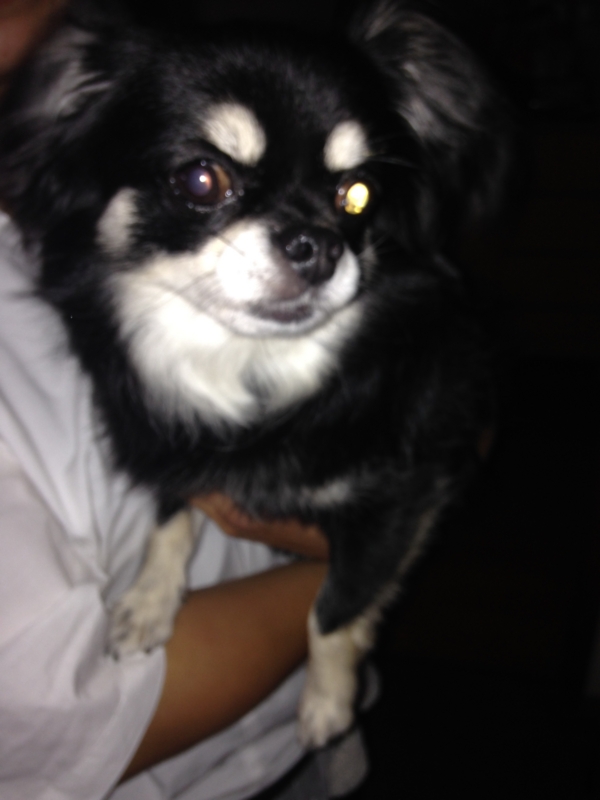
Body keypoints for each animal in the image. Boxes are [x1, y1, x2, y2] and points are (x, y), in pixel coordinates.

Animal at [0, 0, 511, 747]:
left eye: (358, 195)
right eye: (201, 179)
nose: (318, 245)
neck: (249, 369)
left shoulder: (407, 493)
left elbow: (335, 607)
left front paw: (327, 704)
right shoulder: (176, 446)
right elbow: (171, 513)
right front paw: (149, 602)